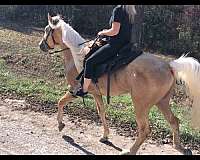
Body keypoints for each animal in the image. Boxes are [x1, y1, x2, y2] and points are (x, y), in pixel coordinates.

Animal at [39, 14, 200, 155]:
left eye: (47, 29)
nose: (41, 46)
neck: (77, 54)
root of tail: (169, 66)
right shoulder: (96, 93)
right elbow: (101, 112)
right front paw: (105, 136)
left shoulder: (75, 90)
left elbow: (60, 102)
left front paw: (60, 124)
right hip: (162, 102)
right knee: (174, 121)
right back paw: (179, 147)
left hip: (141, 105)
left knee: (145, 129)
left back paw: (130, 151)